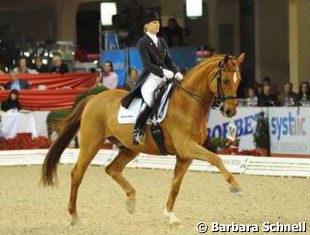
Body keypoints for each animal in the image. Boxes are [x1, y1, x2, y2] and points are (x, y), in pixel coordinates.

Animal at [41, 53, 245, 226]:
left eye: (239, 81)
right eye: (225, 80)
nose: (230, 111)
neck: (188, 103)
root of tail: (93, 98)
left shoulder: (185, 155)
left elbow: (176, 185)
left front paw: (169, 216)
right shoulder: (186, 147)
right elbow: (216, 158)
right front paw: (236, 186)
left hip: (131, 148)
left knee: (112, 169)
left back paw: (131, 201)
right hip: (91, 143)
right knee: (77, 174)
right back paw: (75, 217)